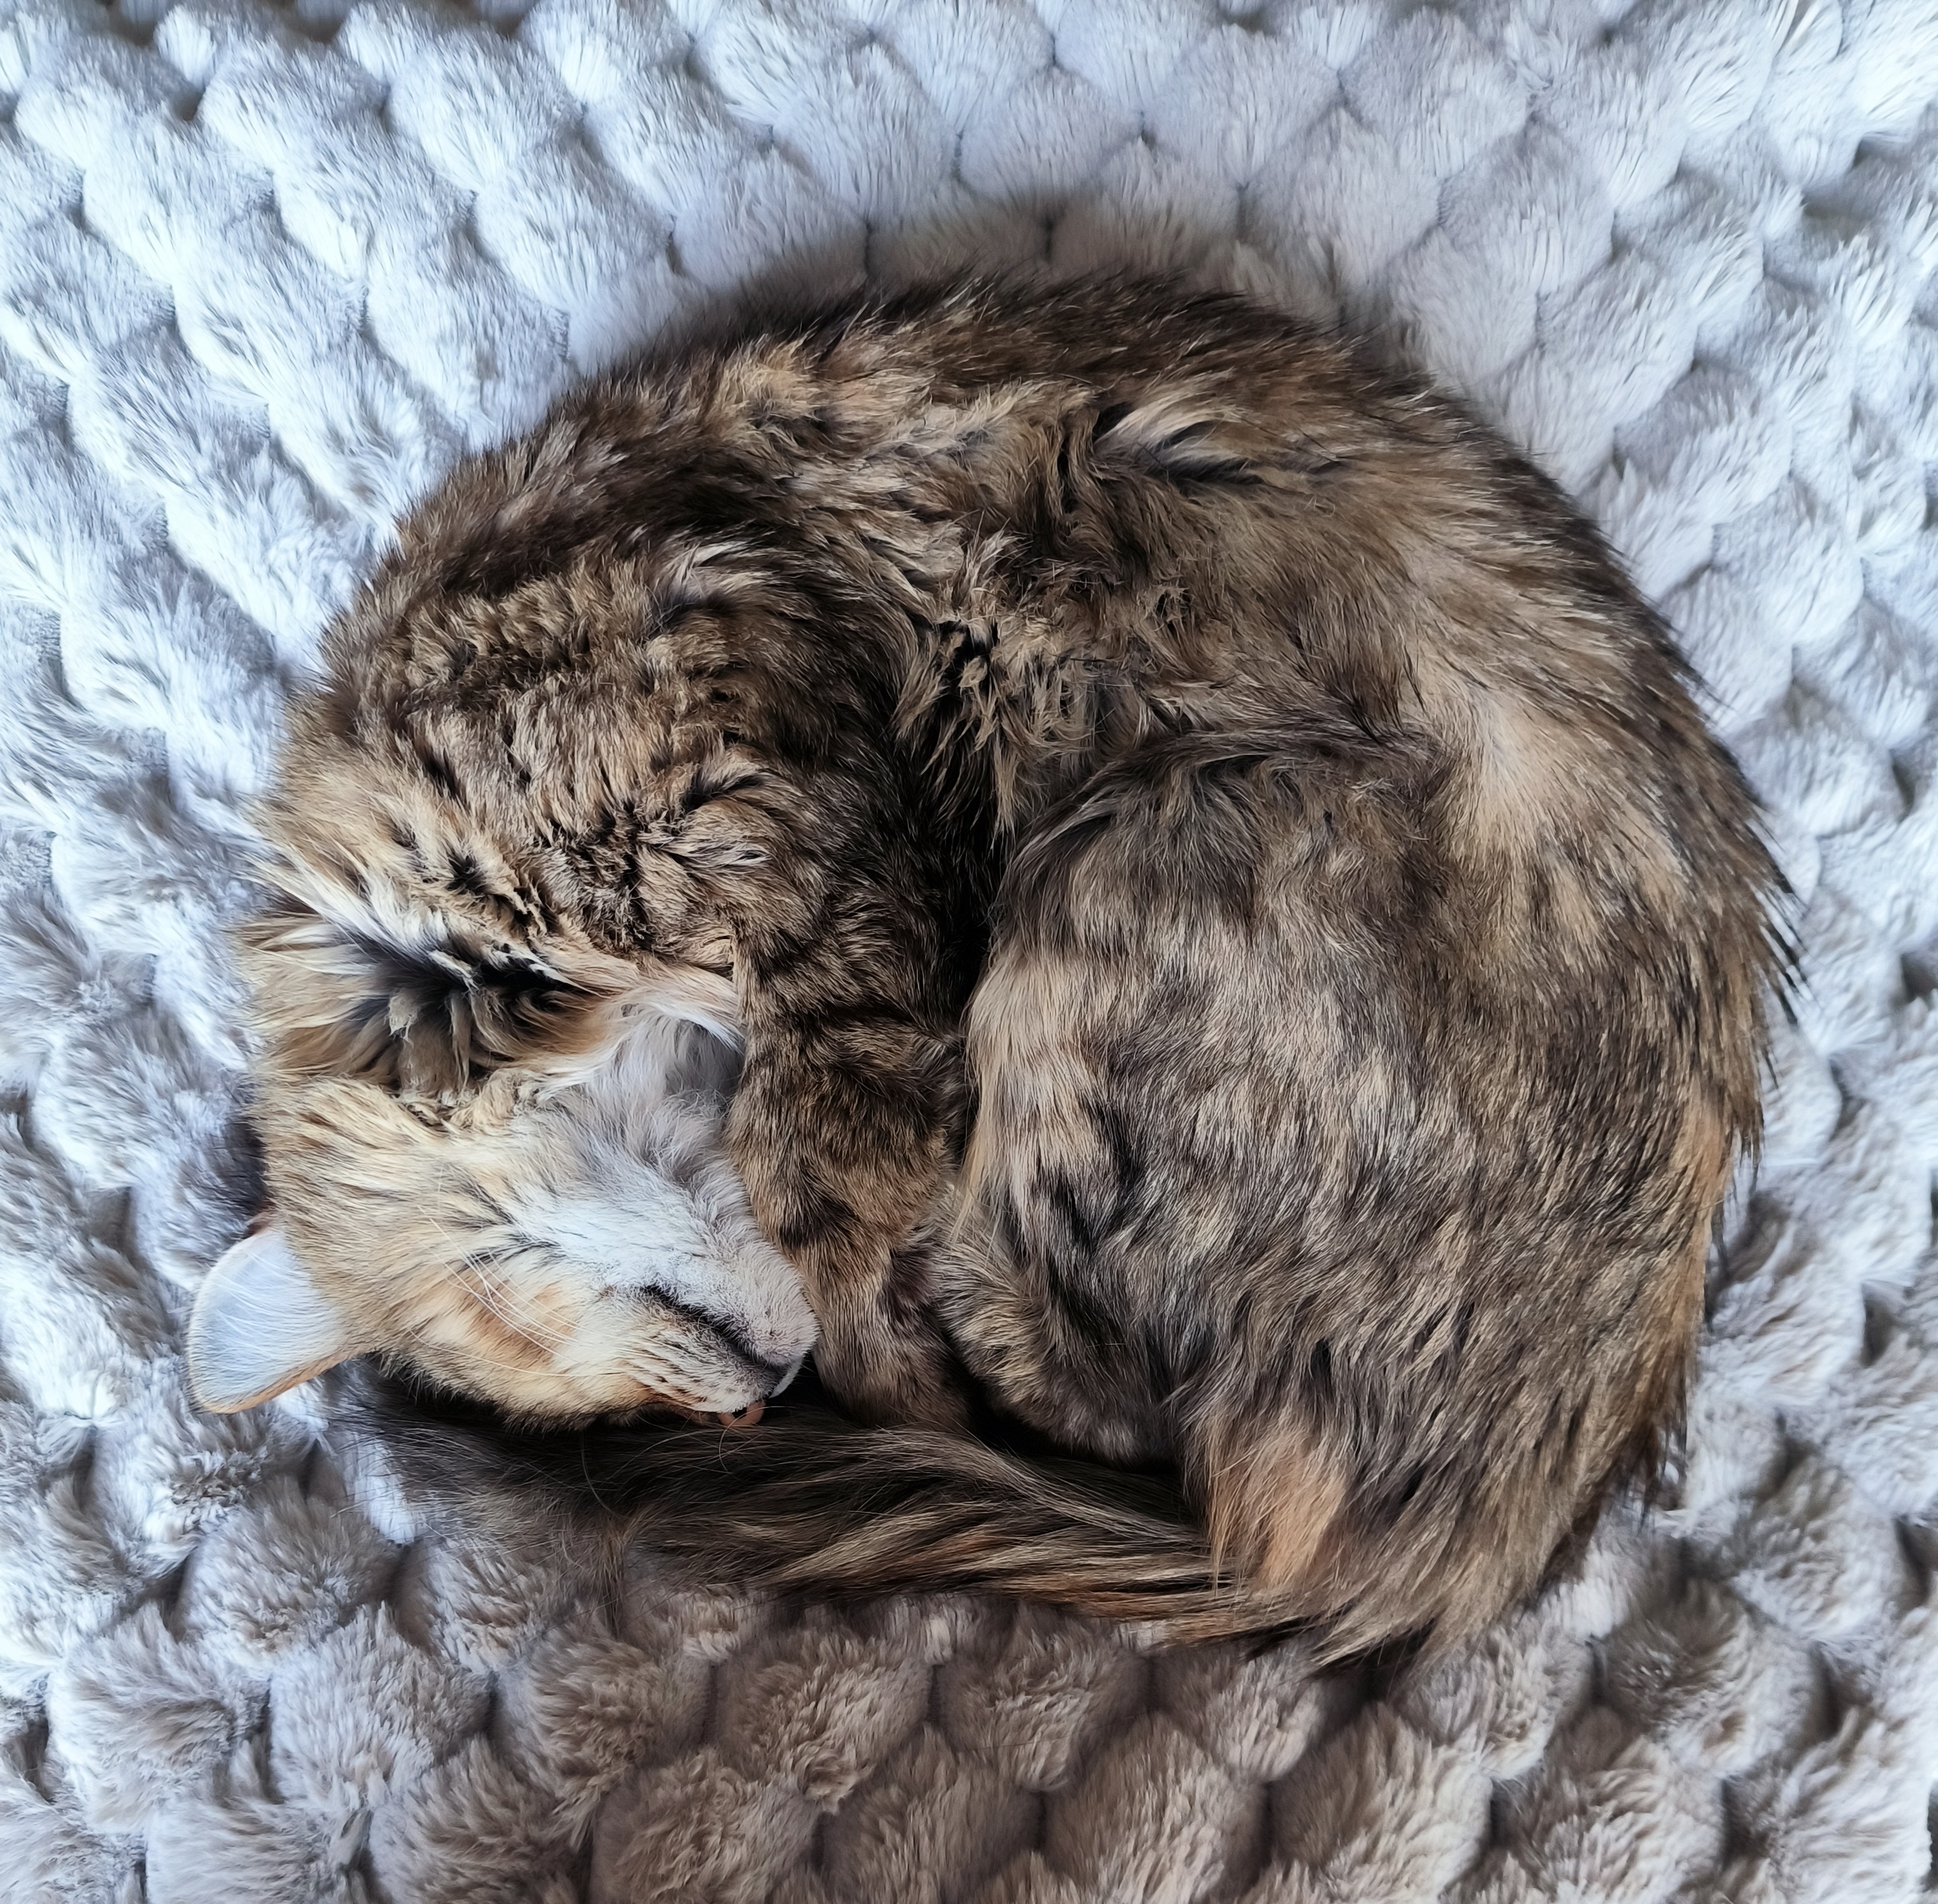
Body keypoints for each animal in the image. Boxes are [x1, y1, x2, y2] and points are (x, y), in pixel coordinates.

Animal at [189, 274, 1775, 1658]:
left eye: (507, 1317)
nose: (746, 1409)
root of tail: (1470, 1550)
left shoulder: (770, 774)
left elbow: (823, 1169)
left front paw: (847, 1288)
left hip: (1133, 870)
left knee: (1066, 1385)